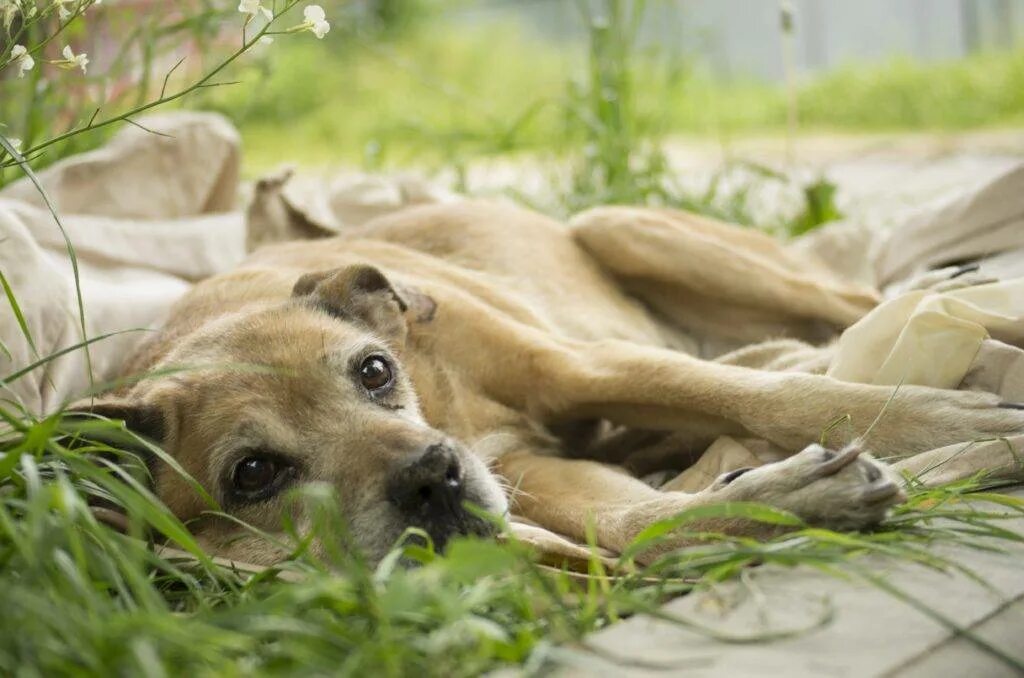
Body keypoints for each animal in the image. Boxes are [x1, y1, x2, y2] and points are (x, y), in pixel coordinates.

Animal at [79, 201, 1024, 569]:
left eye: (373, 372)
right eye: (253, 475)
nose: (433, 478)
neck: (446, 402)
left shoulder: (582, 368)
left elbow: (768, 399)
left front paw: (944, 421)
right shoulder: (536, 477)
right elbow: (639, 523)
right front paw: (793, 497)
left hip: (623, 229)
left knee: (866, 304)